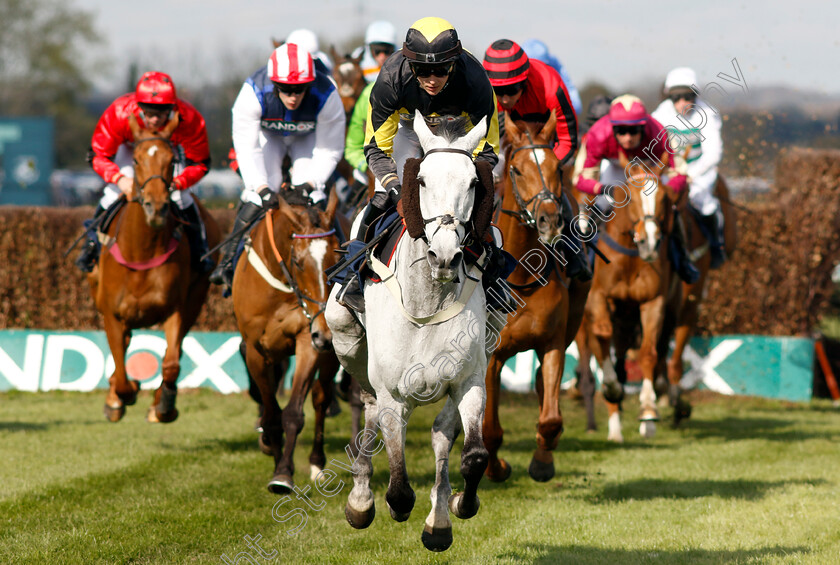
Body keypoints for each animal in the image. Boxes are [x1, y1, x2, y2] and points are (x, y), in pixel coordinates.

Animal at [88, 114, 220, 420]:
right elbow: (122, 373)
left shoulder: (176, 309)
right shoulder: (112, 314)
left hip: (197, 298)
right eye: (136, 160)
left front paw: (164, 405)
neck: (141, 253)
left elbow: (171, 363)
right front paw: (119, 396)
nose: (156, 207)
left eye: (171, 160)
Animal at [231, 189, 346, 494]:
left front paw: (283, 473)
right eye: (298, 262)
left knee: (320, 397)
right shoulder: (256, 350)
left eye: (336, 260)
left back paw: (316, 463)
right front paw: (273, 452)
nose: (327, 335)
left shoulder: (308, 338)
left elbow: (293, 412)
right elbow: (271, 413)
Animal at [482, 113, 592, 480]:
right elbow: (489, 428)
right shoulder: (490, 355)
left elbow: (551, 417)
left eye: (558, 168)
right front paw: (496, 468)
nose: (549, 219)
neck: (520, 274)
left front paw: (542, 462)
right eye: (516, 170)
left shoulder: (553, 342)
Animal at [576, 150, 684, 440]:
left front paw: (648, 410)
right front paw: (612, 390)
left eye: (664, 198)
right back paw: (613, 426)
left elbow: (648, 353)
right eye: (632, 197)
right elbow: (602, 337)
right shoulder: (597, 299)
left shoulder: (653, 301)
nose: (650, 242)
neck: (630, 257)